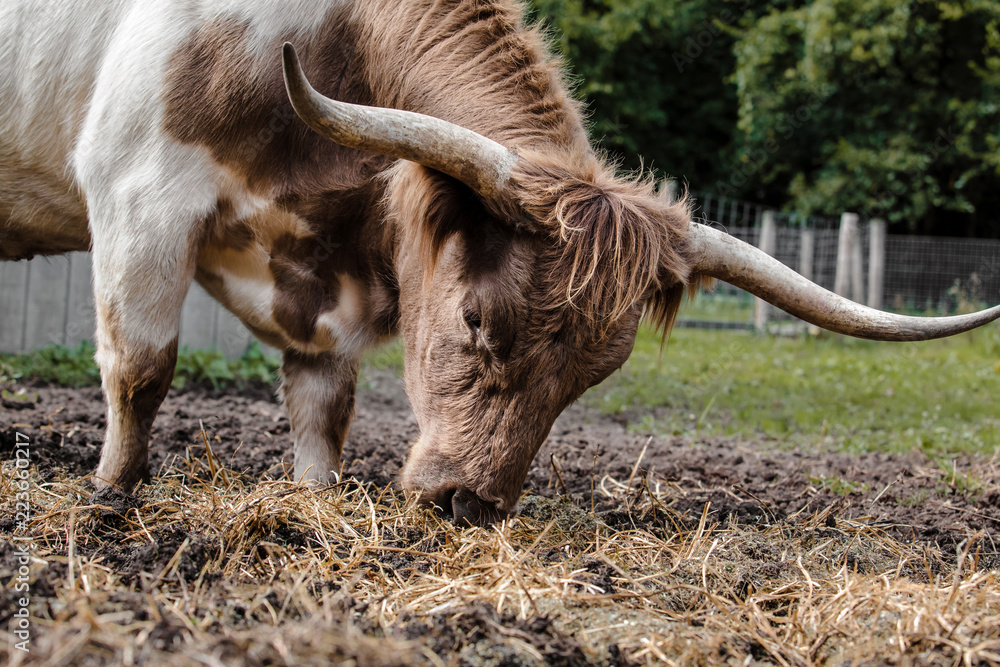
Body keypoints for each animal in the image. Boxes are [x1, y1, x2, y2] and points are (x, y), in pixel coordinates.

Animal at [2, 0, 998, 526]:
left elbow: (323, 408)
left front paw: (317, 499)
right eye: (478, 317)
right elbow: (141, 366)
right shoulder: (140, 194)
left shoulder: (321, 281)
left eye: (597, 372)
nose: (466, 501)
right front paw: (109, 496)